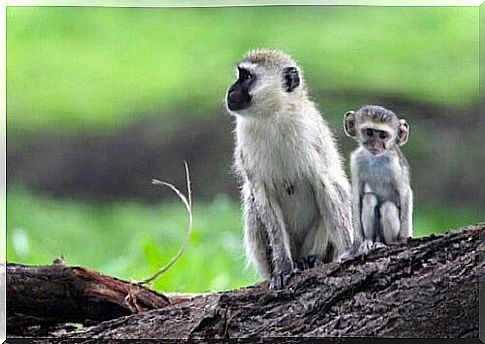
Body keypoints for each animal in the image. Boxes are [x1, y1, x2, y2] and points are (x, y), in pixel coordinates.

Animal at [225, 49, 354, 290]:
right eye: (240, 75)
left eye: (247, 77)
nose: (230, 90)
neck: (272, 116)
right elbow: (262, 196)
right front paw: (284, 267)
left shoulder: (311, 134)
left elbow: (326, 187)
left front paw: (351, 250)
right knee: (252, 201)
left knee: (338, 191)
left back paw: (313, 260)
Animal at [344, 105, 412, 255]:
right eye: (369, 132)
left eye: (383, 135)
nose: (375, 144)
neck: (376, 159)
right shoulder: (357, 161)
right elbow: (357, 198)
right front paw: (356, 245)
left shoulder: (394, 164)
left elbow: (405, 194)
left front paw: (404, 239)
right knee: (369, 199)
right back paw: (368, 241)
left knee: (387, 207)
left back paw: (386, 244)